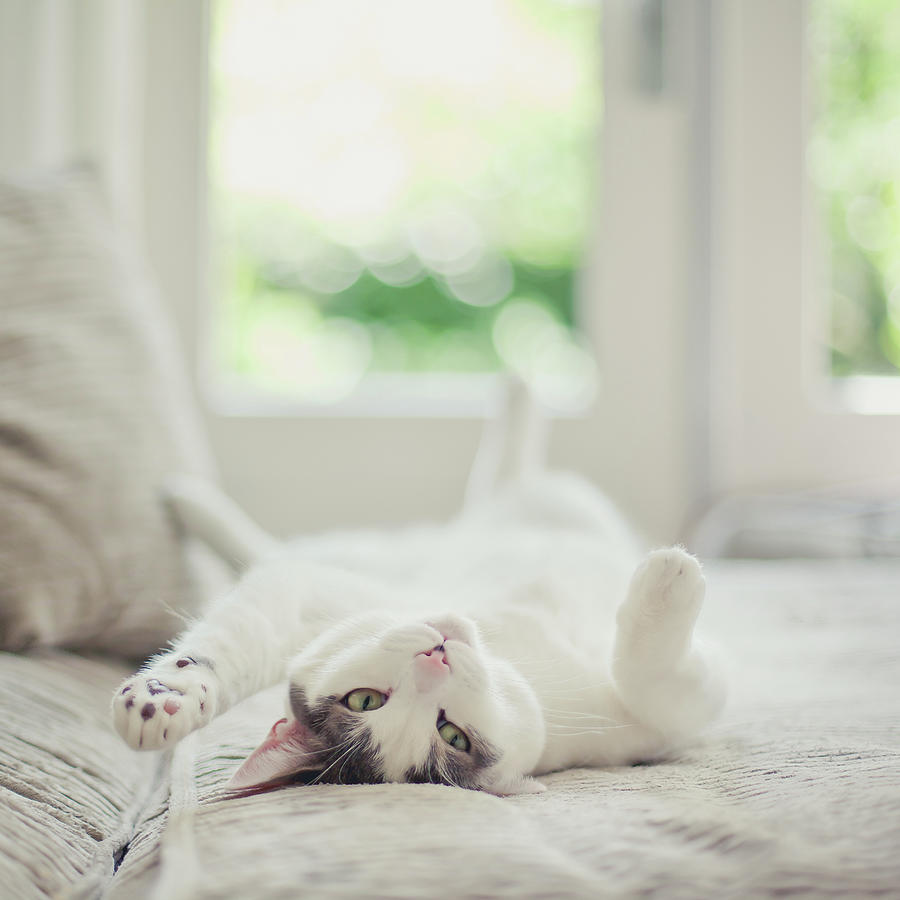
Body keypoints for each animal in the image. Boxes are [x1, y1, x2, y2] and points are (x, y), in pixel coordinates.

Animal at [112, 394, 728, 796]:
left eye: (362, 700)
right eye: (451, 735)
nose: (435, 659)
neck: (520, 653)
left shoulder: (318, 594)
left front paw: (166, 693)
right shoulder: (660, 723)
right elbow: (651, 679)